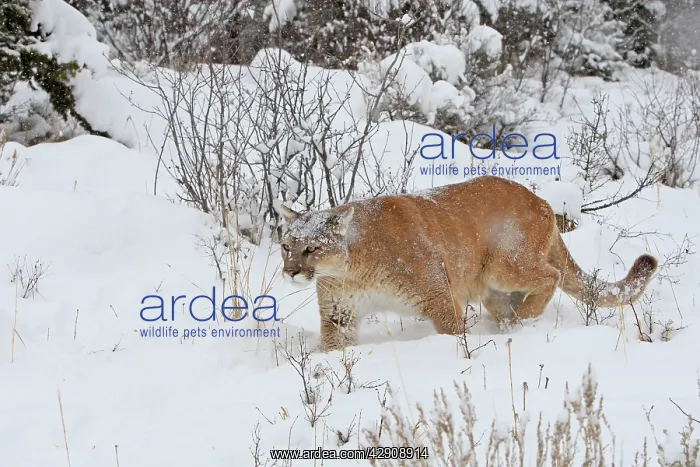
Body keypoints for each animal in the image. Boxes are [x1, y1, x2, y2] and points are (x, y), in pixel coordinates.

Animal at [278, 176, 658, 352]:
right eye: (285, 246)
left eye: (311, 248)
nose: (290, 271)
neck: (352, 271)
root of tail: (543, 201)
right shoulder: (338, 312)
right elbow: (334, 345)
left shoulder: (437, 294)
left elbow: (451, 330)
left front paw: (460, 351)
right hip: (493, 291)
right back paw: (511, 324)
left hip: (504, 265)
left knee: (552, 274)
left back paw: (523, 321)